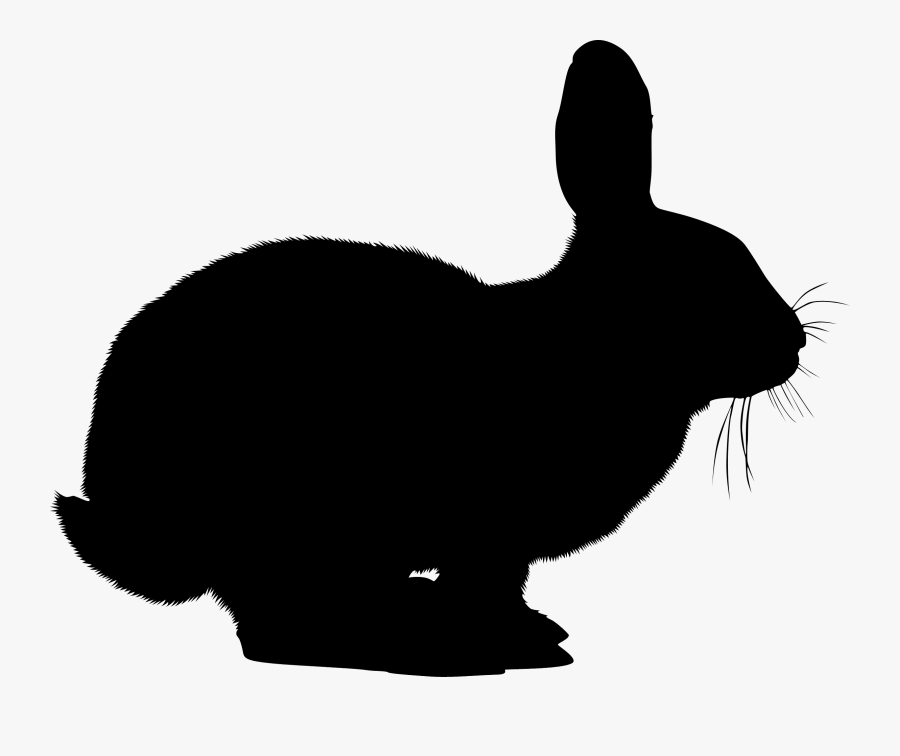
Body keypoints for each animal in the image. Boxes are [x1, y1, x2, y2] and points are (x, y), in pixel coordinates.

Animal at [54, 41, 810, 676]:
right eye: (702, 278)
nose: (795, 343)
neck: (591, 347)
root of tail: (126, 509)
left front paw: (530, 630)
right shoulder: (490, 532)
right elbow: (486, 585)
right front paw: (516, 643)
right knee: (274, 628)